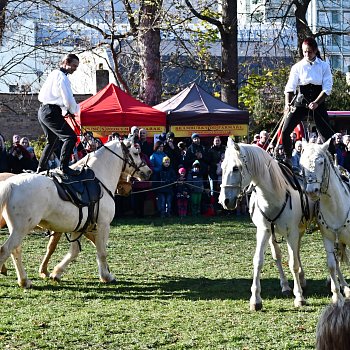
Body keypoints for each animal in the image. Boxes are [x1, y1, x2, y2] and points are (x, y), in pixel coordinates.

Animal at [0, 139, 152, 288]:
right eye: (136, 153)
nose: (149, 171)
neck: (100, 179)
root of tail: (11, 184)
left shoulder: (79, 227)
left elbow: (74, 251)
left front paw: (56, 273)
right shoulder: (103, 225)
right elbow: (102, 251)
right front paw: (106, 276)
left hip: (17, 229)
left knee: (15, 250)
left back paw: (24, 280)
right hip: (22, 229)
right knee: (6, 249)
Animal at [219, 138, 314, 310]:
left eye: (235, 168)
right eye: (222, 167)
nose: (225, 201)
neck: (275, 195)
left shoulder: (292, 231)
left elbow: (293, 263)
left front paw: (299, 297)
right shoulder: (264, 231)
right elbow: (259, 260)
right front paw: (256, 299)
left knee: (296, 253)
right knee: (281, 255)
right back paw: (287, 285)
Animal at [300, 140, 350, 304]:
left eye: (320, 162)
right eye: (302, 163)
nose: (311, 191)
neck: (335, 206)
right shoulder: (328, 238)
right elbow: (332, 265)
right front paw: (337, 295)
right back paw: (344, 287)